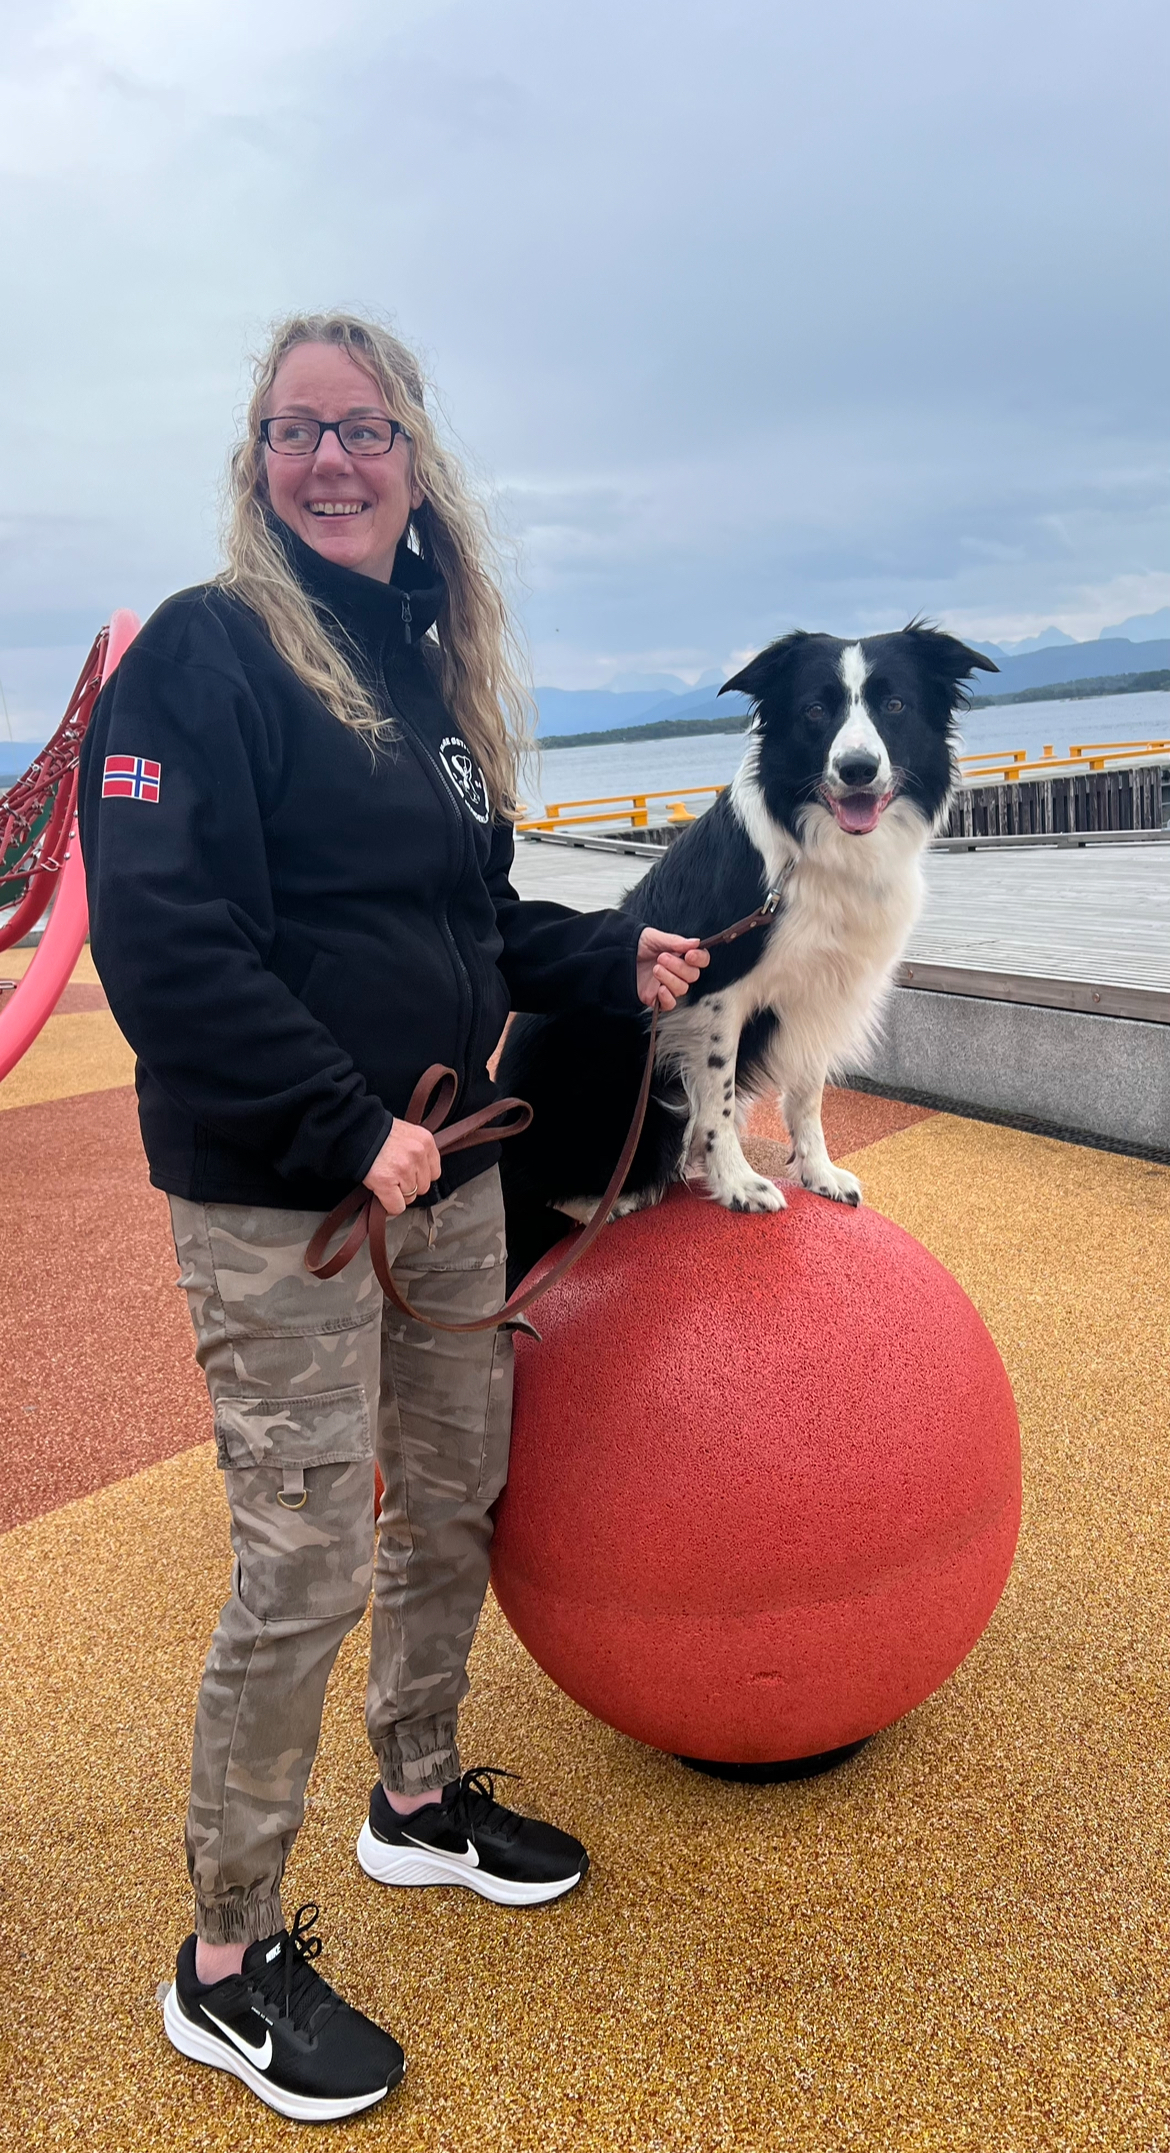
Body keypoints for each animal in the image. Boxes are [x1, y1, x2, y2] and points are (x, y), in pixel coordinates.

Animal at [499, 622, 996, 1289]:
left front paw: (818, 1173)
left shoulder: (819, 994)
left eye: (895, 705)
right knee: (532, 1194)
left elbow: (807, 1095)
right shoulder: (712, 994)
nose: (857, 769)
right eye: (814, 711)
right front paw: (737, 1185)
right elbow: (719, 1101)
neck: (818, 850)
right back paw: (617, 1199)